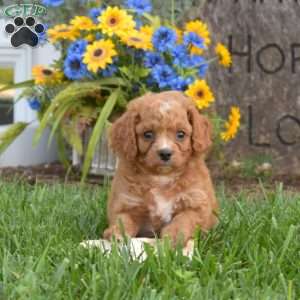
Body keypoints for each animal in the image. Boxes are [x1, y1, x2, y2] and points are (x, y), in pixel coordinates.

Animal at [103, 90, 218, 245]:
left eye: (181, 134)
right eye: (148, 134)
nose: (165, 153)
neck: (162, 177)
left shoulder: (196, 204)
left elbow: (183, 220)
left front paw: (174, 236)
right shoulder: (127, 203)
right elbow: (123, 220)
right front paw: (116, 233)